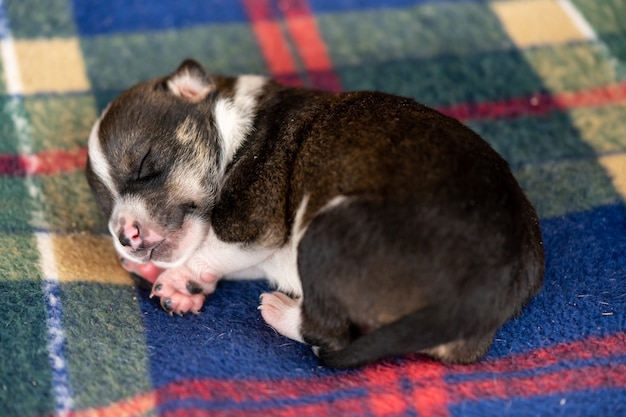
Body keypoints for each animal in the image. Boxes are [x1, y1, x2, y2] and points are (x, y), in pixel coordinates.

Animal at [86, 58, 540, 368]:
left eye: (146, 165)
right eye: (106, 204)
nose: (124, 235)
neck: (233, 123)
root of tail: (482, 299)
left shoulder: (253, 222)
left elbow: (211, 247)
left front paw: (176, 277)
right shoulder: (263, 253)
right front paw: (171, 280)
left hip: (324, 236)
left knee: (329, 334)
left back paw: (279, 312)